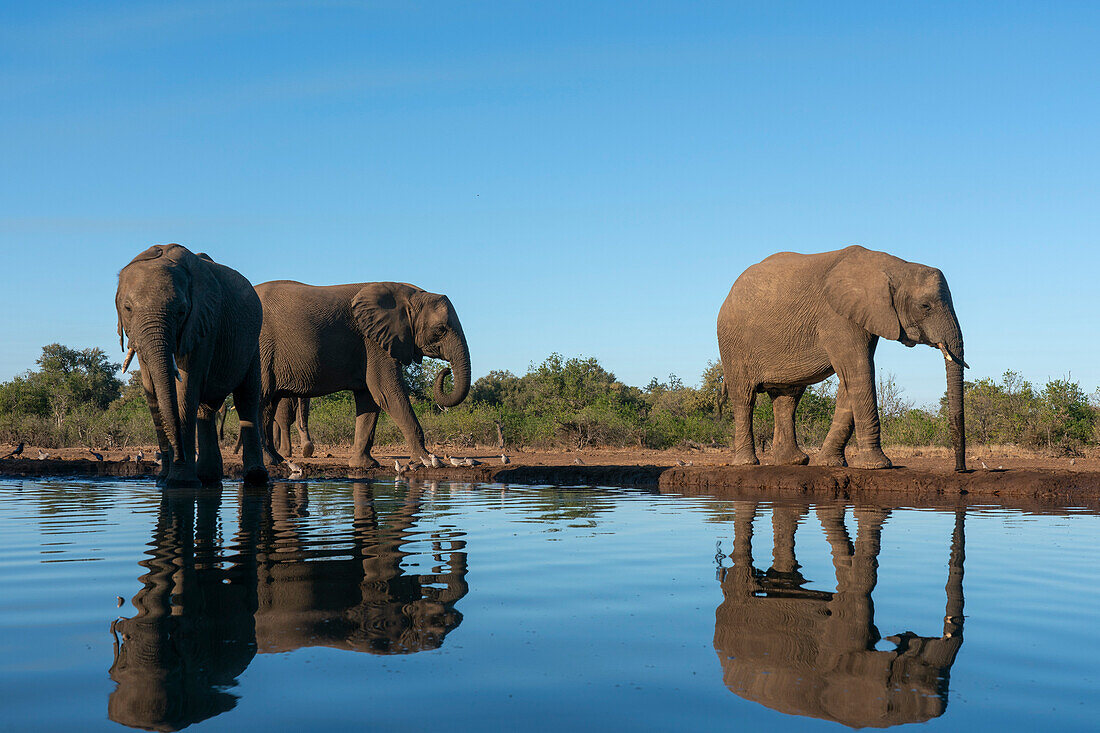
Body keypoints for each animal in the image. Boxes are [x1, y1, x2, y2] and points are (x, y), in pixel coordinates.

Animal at [257, 279, 468, 468]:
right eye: (440, 330)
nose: (446, 370)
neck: (410, 295)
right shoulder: (374, 342)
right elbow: (388, 393)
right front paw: (428, 460)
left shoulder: (372, 343)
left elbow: (370, 399)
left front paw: (364, 465)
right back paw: (269, 461)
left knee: (269, 404)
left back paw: (276, 459)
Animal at [717, 245, 968, 468]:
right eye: (925, 306)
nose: (960, 469)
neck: (893, 266)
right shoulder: (837, 317)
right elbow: (860, 371)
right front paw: (878, 465)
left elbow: (851, 380)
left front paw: (830, 463)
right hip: (733, 343)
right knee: (744, 398)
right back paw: (747, 463)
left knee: (787, 398)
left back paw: (794, 461)